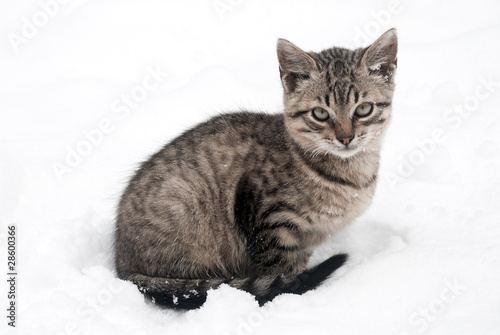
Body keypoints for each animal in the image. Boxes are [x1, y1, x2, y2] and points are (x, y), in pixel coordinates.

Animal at [114, 28, 398, 310]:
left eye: (363, 109)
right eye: (320, 113)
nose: (346, 138)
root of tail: (122, 266)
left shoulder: (306, 239)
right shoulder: (268, 223)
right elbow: (282, 272)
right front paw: (290, 296)